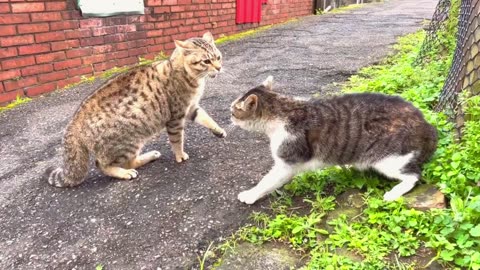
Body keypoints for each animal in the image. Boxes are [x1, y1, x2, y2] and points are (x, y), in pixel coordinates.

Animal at [46, 31, 226, 187]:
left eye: (218, 57)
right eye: (206, 61)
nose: (218, 68)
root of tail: (73, 121)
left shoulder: (191, 107)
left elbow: (206, 118)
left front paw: (218, 130)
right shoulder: (176, 116)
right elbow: (177, 140)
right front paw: (180, 155)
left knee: (129, 162)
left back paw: (149, 156)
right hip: (128, 141)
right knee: (102, 164)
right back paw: (124, 172)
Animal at [231, 75, 436, 202]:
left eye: (233, 110)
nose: (228, 115)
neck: (283, 109)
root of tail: (426, 123)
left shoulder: (287, 162)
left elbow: (267, 181)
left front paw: (250, 195)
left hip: (389, 160)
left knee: (414, 175)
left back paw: (394, 193)